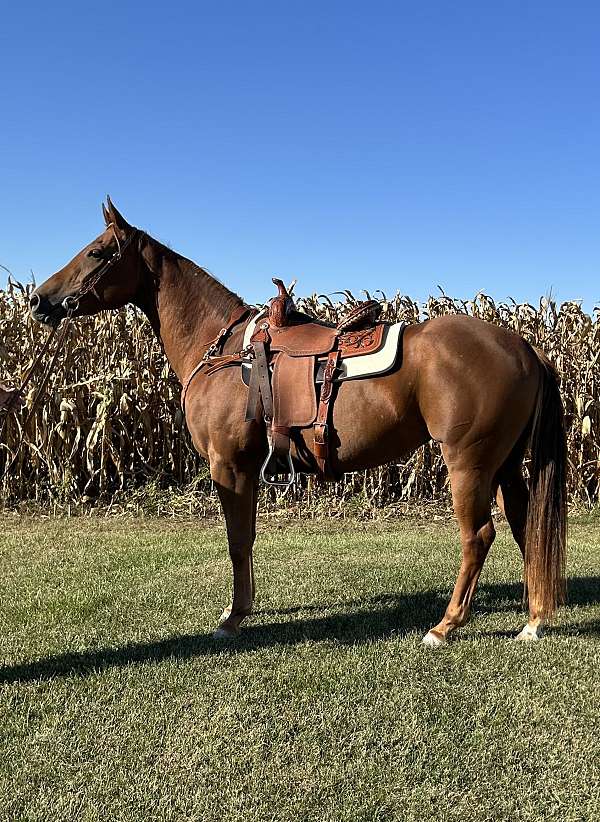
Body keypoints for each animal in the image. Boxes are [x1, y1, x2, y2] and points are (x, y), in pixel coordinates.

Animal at [30, 198, 567, 646]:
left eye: (98, 252)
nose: (38, 300)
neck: (222, 348)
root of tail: (524, 347)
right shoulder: (245, 469)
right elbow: (246, 537)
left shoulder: (229, 466)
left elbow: (236, 540)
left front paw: (233, 617)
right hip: (505, 465)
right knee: (524, 525)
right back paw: (534, 620)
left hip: (469, 464)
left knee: (478, 536)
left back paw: (446, 625)